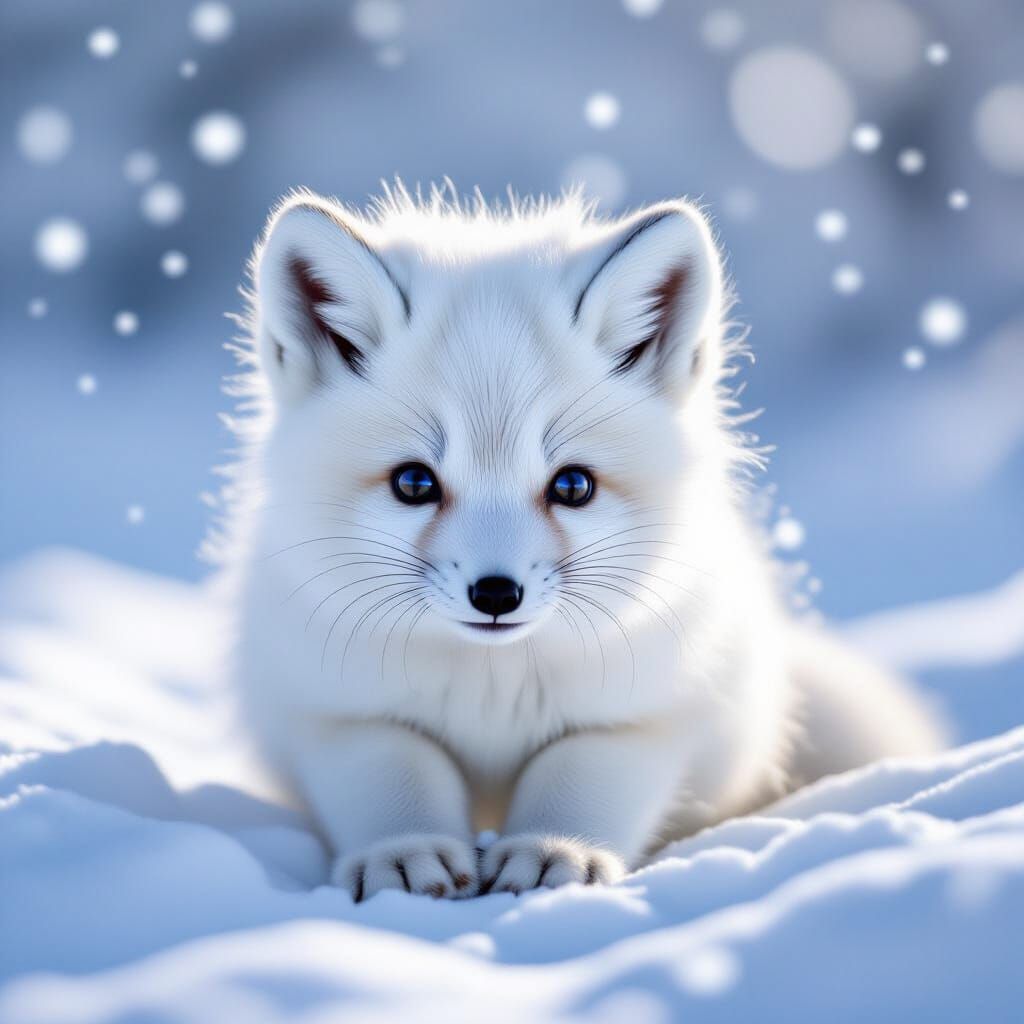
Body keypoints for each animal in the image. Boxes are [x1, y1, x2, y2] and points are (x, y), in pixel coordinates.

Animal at [219, 184, 946, 901]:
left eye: (572, 486)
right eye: (414, 482)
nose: (496, 593)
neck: (494, 689)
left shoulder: (644, 718)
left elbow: (575, 775)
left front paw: (551, 853)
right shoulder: (337, 713)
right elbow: (396, 773)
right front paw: (405, 853)